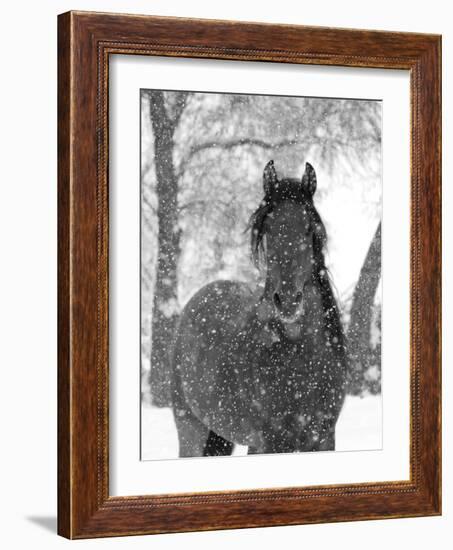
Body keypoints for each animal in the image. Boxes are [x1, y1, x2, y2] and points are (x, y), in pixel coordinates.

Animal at [172, 162, 346, 460]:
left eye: (309, 229)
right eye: (268, 230)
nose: (287, 302)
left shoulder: (324, 440)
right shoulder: (268, 444)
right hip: (191, 430)